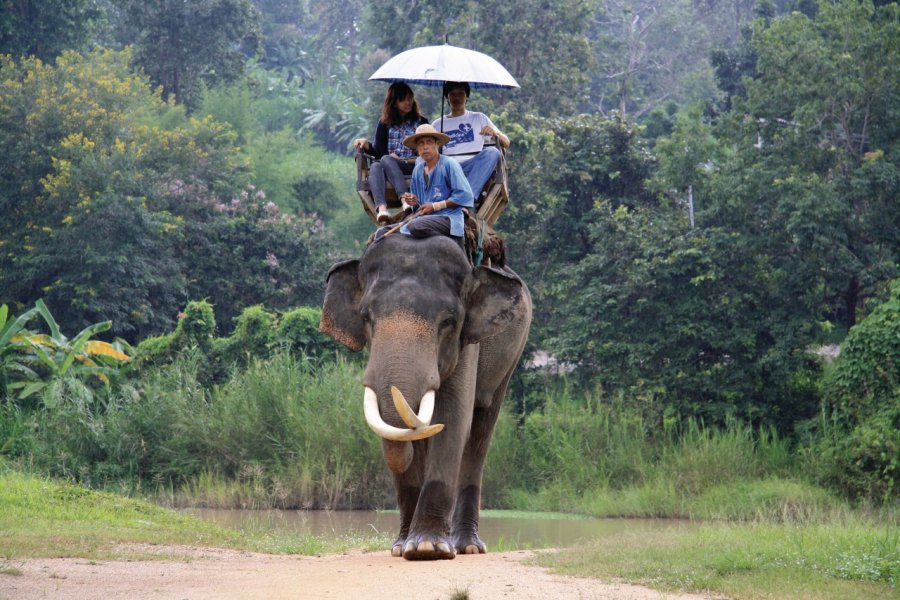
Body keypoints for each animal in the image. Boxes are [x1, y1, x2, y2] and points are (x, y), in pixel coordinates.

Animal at [320, 232, 532, 560]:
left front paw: (427, 548)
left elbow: (453, 417)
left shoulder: (468, 344)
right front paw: (401, 548)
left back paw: (468, 547)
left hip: (511, 354)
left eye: (448, 322)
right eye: (366, 318)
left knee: (481, 430)